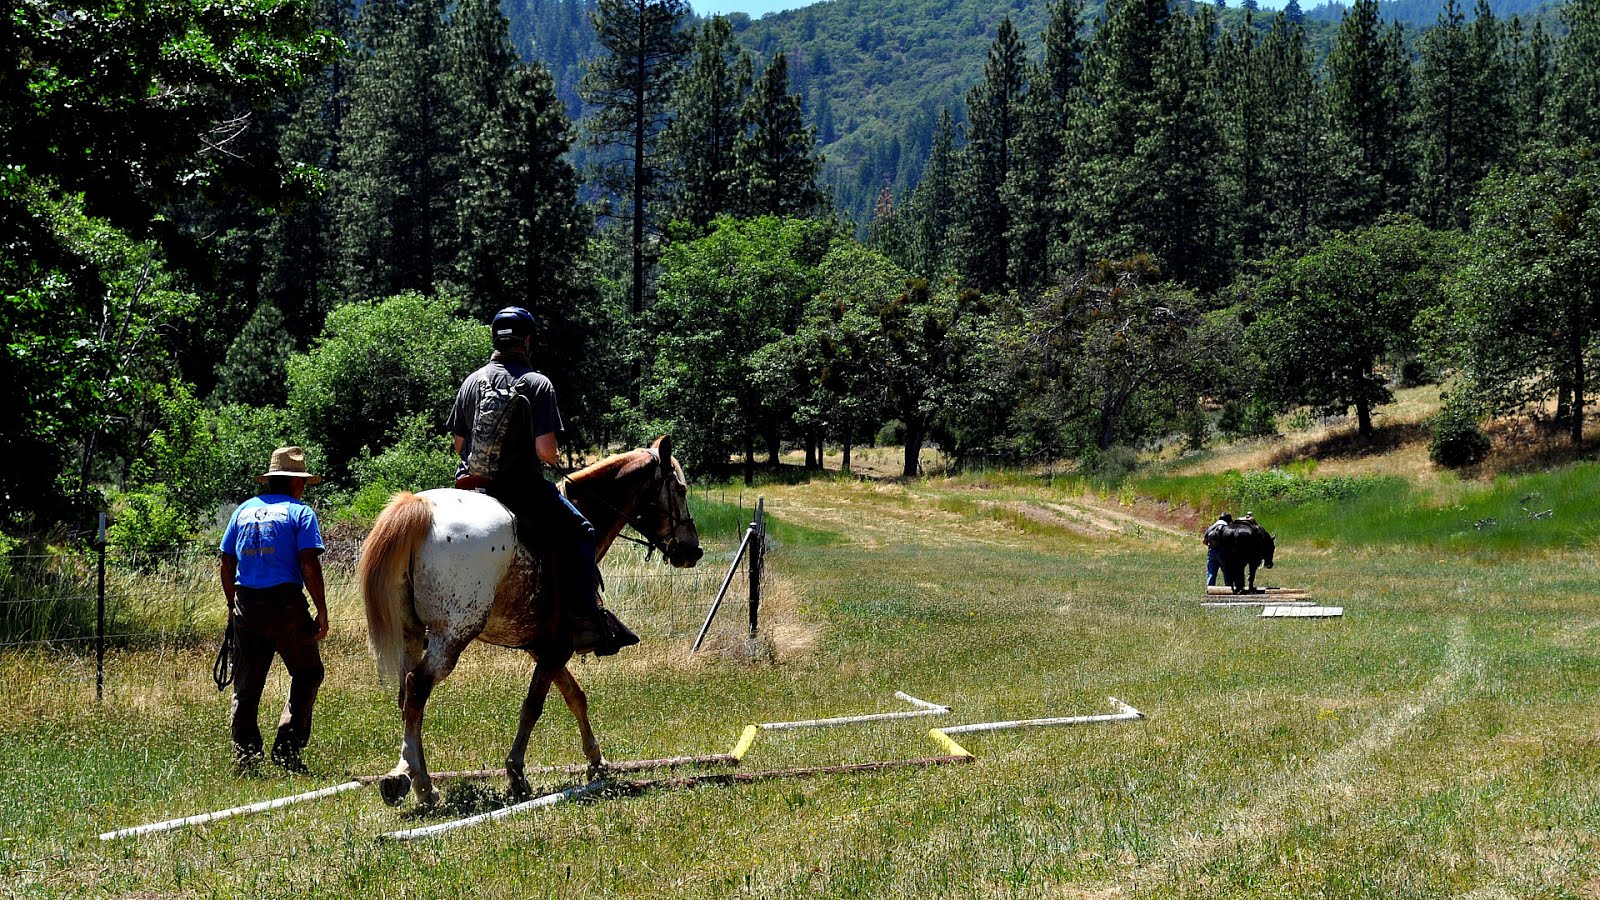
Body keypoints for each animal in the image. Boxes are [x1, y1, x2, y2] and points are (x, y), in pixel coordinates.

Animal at [357, 436, 702, 807]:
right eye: (680, 489)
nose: (692, 551)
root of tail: (418, 507)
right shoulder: (558, 647)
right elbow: (534, 706)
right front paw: (516, 773)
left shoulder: (543, 646)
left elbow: (575, 696)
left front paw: (596, 761)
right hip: (451, 636)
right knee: (418, 686)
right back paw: (416, 782)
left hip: (410, 633)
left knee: (407, 695)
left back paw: (415, 778)